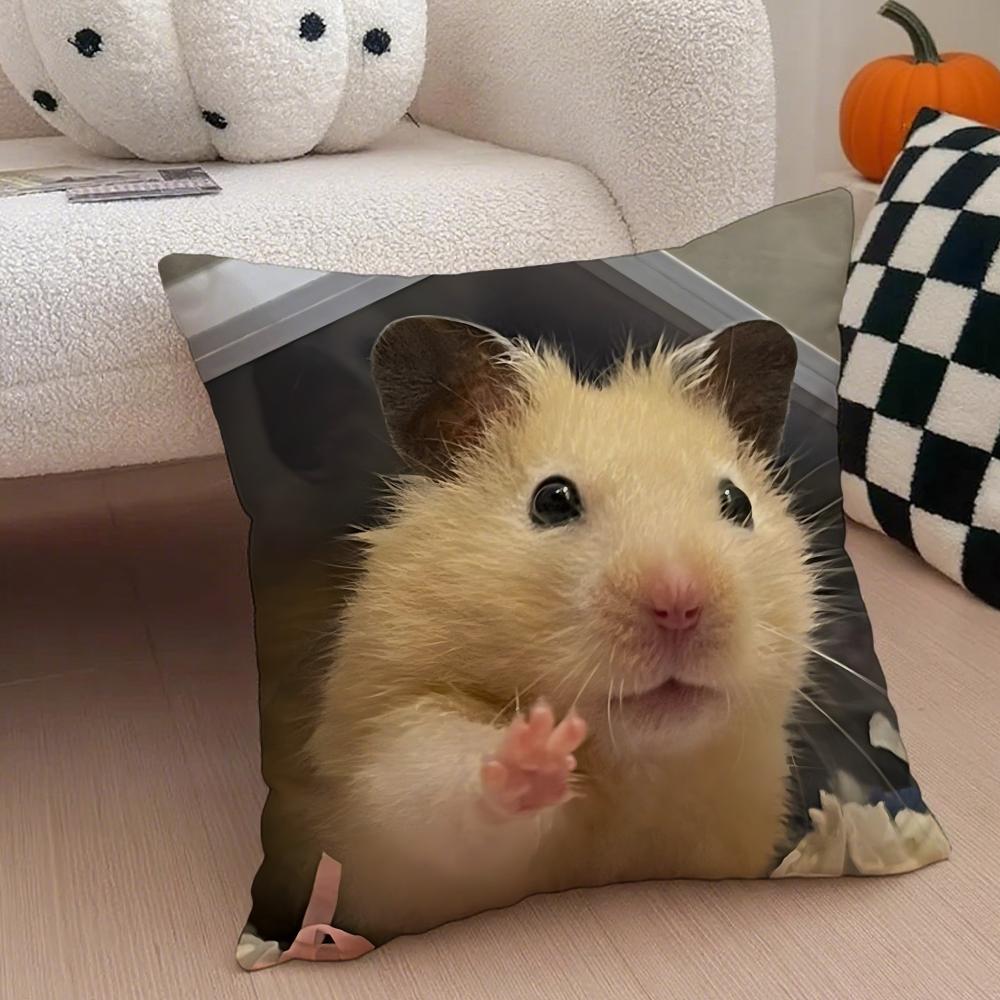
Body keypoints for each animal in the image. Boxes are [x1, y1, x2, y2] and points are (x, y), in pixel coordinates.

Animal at [306, 315, 818, 945]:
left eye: (737, 502)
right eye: (552, 500)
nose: (680, 602)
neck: (635, 770)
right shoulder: (391, 767)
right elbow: (441, 791)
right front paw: (536, 755)